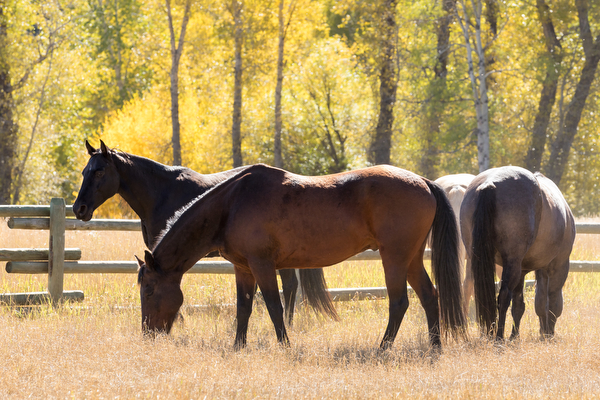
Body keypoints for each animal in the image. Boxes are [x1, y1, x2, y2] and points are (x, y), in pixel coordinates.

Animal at [137, 162, 468, 350]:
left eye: (149, 290)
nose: (148, 334)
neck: (232, 204)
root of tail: (424, 182)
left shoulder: (262, 265)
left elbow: (274, 306)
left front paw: (285, 345)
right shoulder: (243, 269)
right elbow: (243, 308)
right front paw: (238, 346)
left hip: (395, 259)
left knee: (399, 303)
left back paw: (383, 349)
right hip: (411, 258)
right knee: (429, 295)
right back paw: (435, 347)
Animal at [460, 167, 576, 340]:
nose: (545, 332)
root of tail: (489, 184)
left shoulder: (524, 271)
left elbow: (522, 304)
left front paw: (515, 336)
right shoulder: (559, 266)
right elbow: (552, 302)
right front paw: (548, 333)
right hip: (513, 263)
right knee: (503, 296)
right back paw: (499, 337)